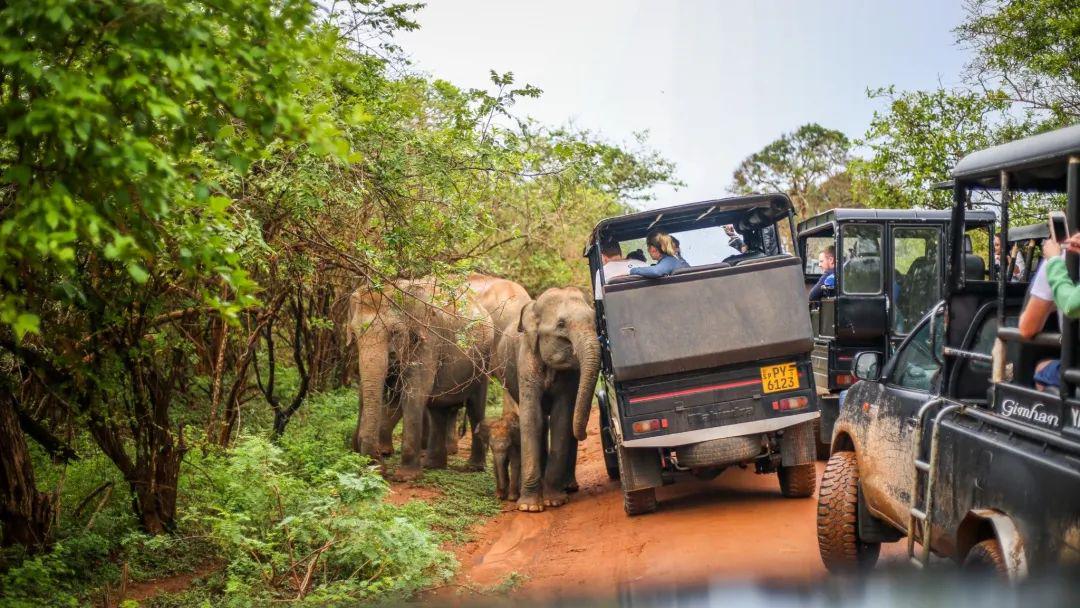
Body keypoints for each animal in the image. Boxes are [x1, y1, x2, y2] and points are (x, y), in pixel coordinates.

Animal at [348, 278, 494, 480]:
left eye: (394, 332)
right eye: (354, 334)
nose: (378, 466)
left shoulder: (428, 339)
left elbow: (414, 393)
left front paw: (405, 477)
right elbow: (370, 391)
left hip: (483, 363)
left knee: (475, 407)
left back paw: (473, 467)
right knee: (438, 410)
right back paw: (433, 465)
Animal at [470, 276, 600, 512]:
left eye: (595, 320)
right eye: (561, 324)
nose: (586, 433)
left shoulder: (570, 377)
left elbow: (561, 419)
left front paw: (554, 501)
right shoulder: (526, 361)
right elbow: (532, 419)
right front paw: (529, 507)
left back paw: (569, 487)